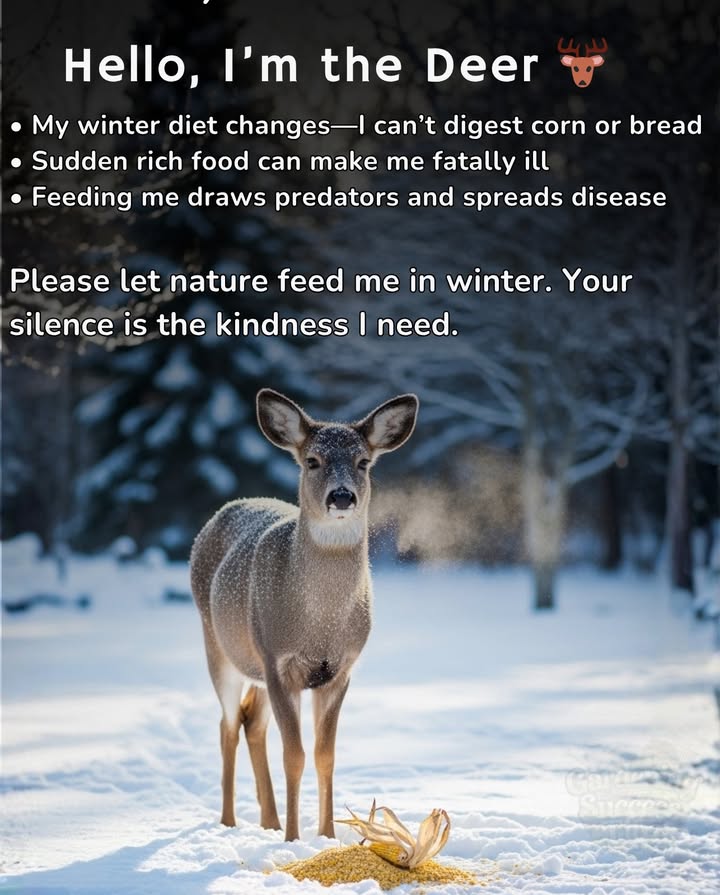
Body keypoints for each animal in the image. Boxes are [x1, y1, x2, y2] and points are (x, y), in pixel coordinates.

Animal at [190, 388, 419, 841]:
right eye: (312, 460)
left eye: (363, 462)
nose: (342, 496)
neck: (320, 625)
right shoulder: (279, 663)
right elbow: (293, 755)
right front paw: (295, 839)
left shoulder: (340, 669)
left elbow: (324, 754)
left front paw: (326, 836)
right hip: (219, 646)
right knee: (228, 725)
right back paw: (230, 822)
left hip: (255, 664)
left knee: (251, 722)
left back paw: (268, 821)